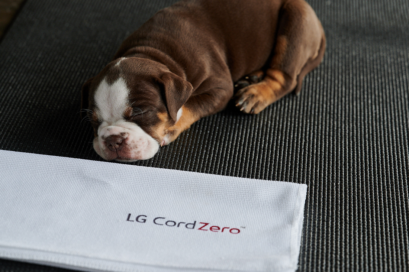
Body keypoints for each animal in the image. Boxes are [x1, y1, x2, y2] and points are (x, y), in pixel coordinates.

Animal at [82, 0, 326, 162]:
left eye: (140, 113)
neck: (151, 51)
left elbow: (190, 105)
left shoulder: (220, 88)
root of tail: (319, 25)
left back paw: (256, 93)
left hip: (295, 20)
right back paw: (254, 77)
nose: (112, 140)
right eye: (94, 121)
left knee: (284, 77)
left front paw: (172, 126)